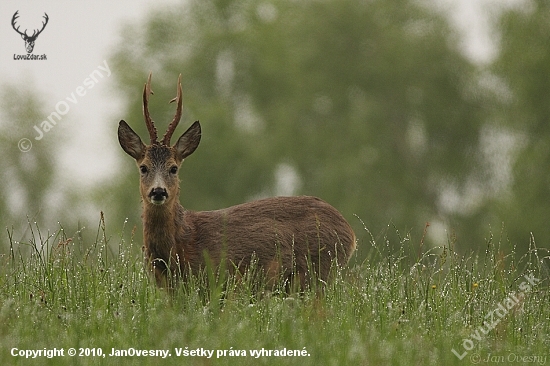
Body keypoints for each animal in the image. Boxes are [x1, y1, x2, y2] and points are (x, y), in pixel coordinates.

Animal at [117, 73, 358, 288]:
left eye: (173, 168)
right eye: (143, 168)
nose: (158, 191)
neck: (181, 246)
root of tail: (350, 233)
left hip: (317, 271)